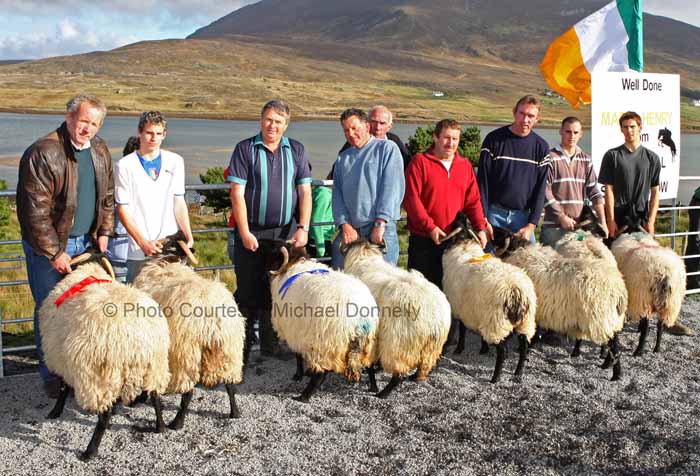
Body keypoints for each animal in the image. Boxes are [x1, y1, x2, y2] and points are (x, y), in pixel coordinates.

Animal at [134, 262, 246, 430]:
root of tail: (211, 311)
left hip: (187, 354)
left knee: (188, 392)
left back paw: (177, 423)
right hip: (229, 350)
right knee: (230, 385)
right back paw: (235, 412)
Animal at [442, 238, 536, 384]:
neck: (464, 246)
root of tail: (514, 290)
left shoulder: (463, 310)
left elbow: (462, 330)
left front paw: (459, 349)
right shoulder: (477, 312)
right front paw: (483, 349)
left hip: (496, 321)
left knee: (502, 351)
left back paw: (495, 378)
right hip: (524, 322)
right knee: (524, 346)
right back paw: (518, 373)